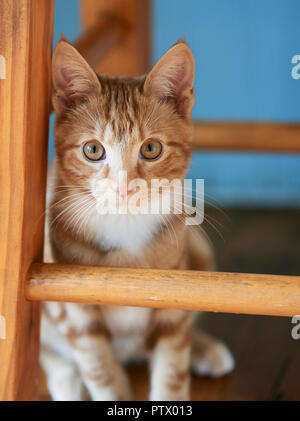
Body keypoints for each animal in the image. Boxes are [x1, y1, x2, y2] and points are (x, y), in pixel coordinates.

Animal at [40, 37, 234, 398]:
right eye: (92, 150)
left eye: (151, 149)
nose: (123, 186)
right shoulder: (75, 310)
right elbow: (101, 374)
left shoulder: (175, 295)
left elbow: (172, 369)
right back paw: (67, 383)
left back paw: (204, 349)